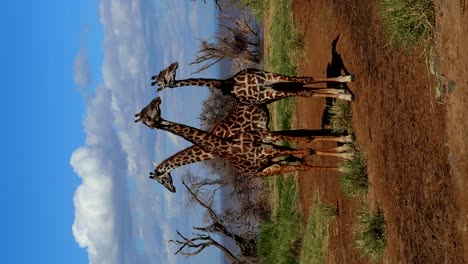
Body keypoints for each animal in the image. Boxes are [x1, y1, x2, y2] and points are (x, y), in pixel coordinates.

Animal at [135, 96, 354, 180]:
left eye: (150, 111)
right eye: (147, 116)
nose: (157, 98)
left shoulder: (269, 142)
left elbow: (305, 144)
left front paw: (346, 151)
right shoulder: (270, 147)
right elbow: (304, 151)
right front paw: (345, 154)